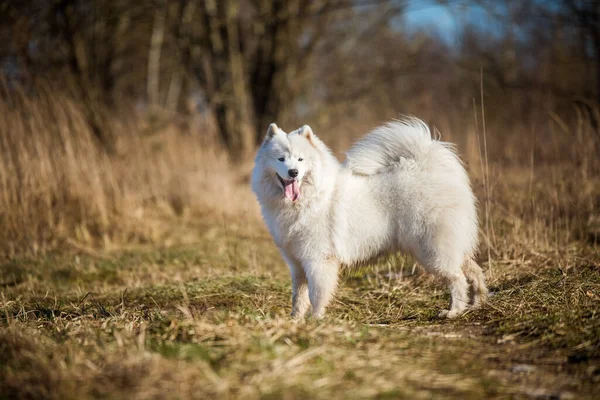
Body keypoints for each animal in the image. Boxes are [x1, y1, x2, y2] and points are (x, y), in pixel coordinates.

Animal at [251, 117, 486, 320]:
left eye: (300, 159)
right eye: (281, 159)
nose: (293, 172)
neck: (309, 199)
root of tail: (429, 167)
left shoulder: (318, 260)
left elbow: (316, 294)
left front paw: (314, 320)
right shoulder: (297, 263)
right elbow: (298, 297)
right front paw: (295, 320)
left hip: (432, 250)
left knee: (457, 279)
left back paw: (453, 311)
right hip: (449, 247)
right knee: (473, 271)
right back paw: (476, 303)